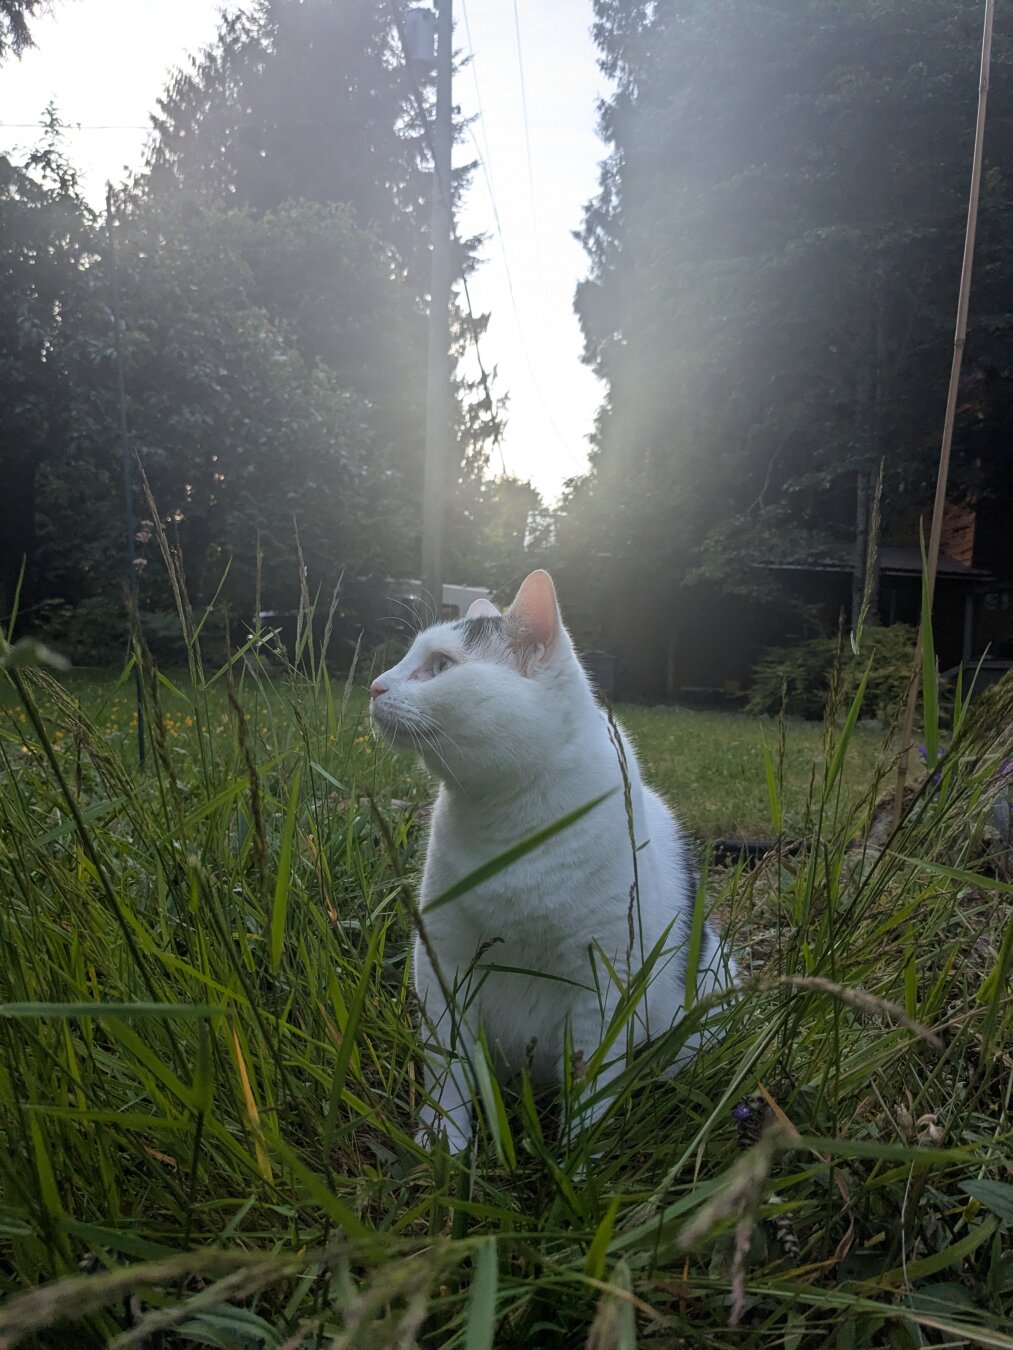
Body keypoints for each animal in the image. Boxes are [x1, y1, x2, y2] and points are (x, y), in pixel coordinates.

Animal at [370, 569, 734, 1153]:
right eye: (407, 657)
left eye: (442, 666)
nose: (375, 686)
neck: (506, 820)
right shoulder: (442, 967)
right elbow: (448, 1076)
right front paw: (442, 1146)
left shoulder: (603, 986)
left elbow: (589, 1088)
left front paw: (578, 1160)